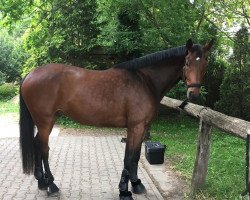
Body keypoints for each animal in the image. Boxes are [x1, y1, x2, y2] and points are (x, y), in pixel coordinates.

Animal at [20, 38, 213, 199]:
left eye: (205, 63)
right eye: (187, 62)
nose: (194, 94)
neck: (145, 81)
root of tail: (30, 74)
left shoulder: (141, 127)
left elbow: (135, 157)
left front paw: (136, 184)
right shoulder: (135, 126)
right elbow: (128, 158)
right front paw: (124, 191)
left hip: (48, 120)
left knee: (37, 144)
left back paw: (42, 181)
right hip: (45, 121)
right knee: (43, 148)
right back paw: (51, 185)